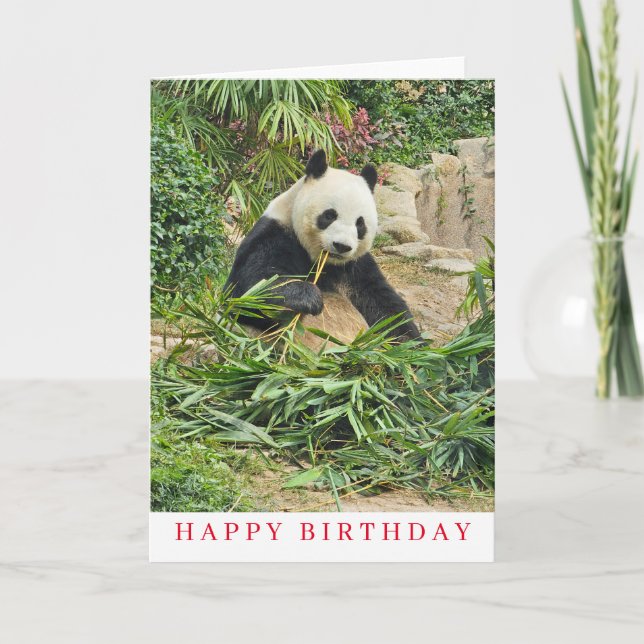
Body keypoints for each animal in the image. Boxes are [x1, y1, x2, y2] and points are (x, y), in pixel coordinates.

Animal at [225, 149, 421, 344]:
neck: (323, 262)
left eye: (360, 224)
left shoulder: (357, 266)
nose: (341, 246)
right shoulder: (275, 235)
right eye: (329, 215)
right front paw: (308, 297)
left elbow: (384, 306)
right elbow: (249, 289)